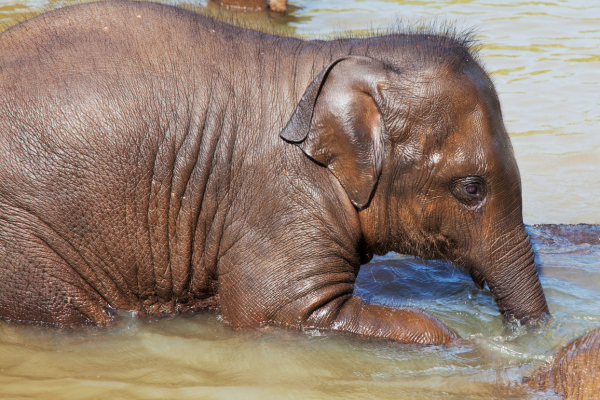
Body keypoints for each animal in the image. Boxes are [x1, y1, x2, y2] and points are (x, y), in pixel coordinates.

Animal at [0, 0, 548, 344]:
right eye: (471, 188)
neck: (329, 59)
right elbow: (278, 311)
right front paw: (464, 346)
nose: (526, 335)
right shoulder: (279, 199)